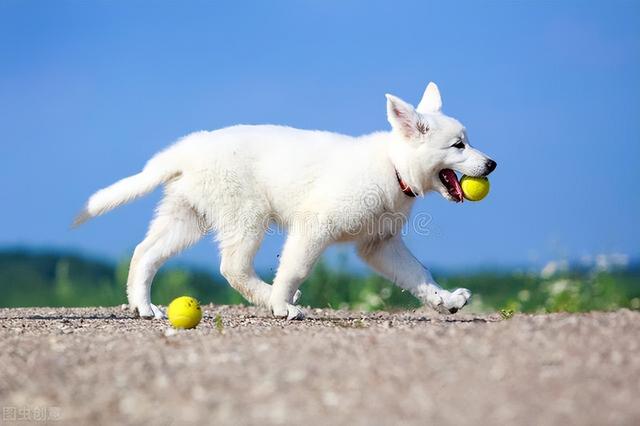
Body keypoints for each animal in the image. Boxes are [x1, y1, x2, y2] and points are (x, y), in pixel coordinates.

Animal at [74, 82, 496, 320]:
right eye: (458, 146)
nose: (493, 164)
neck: (392, 166)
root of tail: (188, 148)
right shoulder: (315, 226)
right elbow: (295, 268)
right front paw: (280, 303)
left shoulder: (380, 245)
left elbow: (418, 274)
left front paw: (445, 300)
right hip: (247, 214)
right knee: (233, 268)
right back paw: (271, 299)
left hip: (187, 217)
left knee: (145, 253)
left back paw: (142, 306)